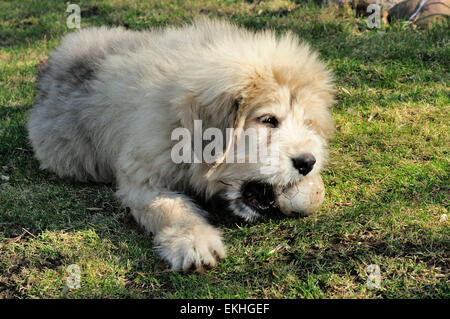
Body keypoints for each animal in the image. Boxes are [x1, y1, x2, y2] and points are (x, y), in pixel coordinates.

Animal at [27, 18, 334, 272]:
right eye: (269, 120)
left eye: (308, 123)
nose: (307, 162)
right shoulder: (142, 179)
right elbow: (172, 208)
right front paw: (194, 242)